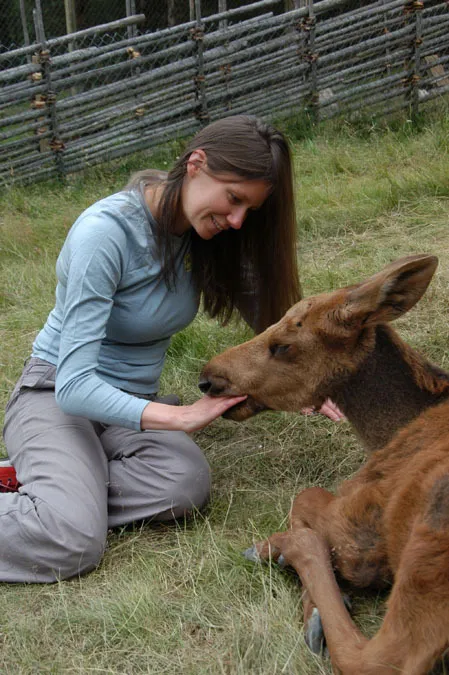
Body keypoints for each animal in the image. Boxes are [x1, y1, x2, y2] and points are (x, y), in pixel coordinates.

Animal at [199, 254, 449, 675]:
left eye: (282, 345)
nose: (207, 378)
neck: (388, 431)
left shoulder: (359, 530)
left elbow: (305, 495)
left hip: (429, 548)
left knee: (374, 659)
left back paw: (282, 551)